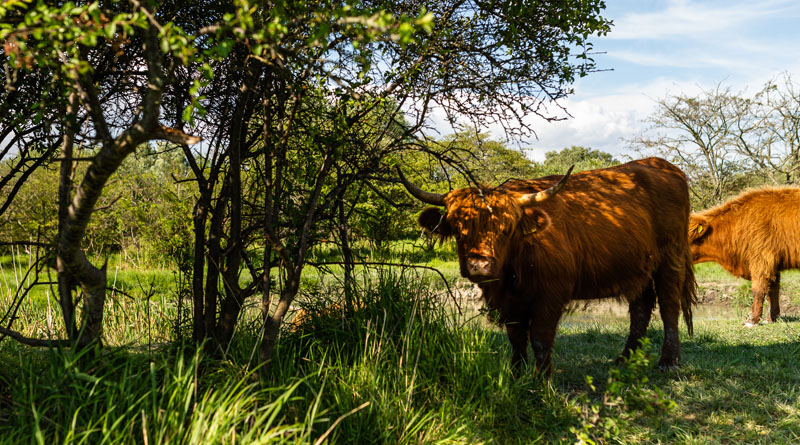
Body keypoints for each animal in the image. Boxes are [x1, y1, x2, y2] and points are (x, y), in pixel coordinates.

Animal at [400, 158, 692, 372]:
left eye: (506, 230)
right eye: (459, 231)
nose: (479, 265)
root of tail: (662, 164)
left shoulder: (551, 295)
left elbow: (540, 340)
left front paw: (541, 384)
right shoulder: (511, 303)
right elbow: (516, 340)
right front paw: (517, 376)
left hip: (671, 257)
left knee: (668, 304)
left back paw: (668, 361)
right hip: (638, 267)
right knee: (641, 307)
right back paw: (624, 359)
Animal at [688, 186, 800, 324]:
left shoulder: (761, 260)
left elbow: (758, 290)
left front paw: (752, 321)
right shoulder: (773, 265)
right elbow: (773, 290)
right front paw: (771, 319)